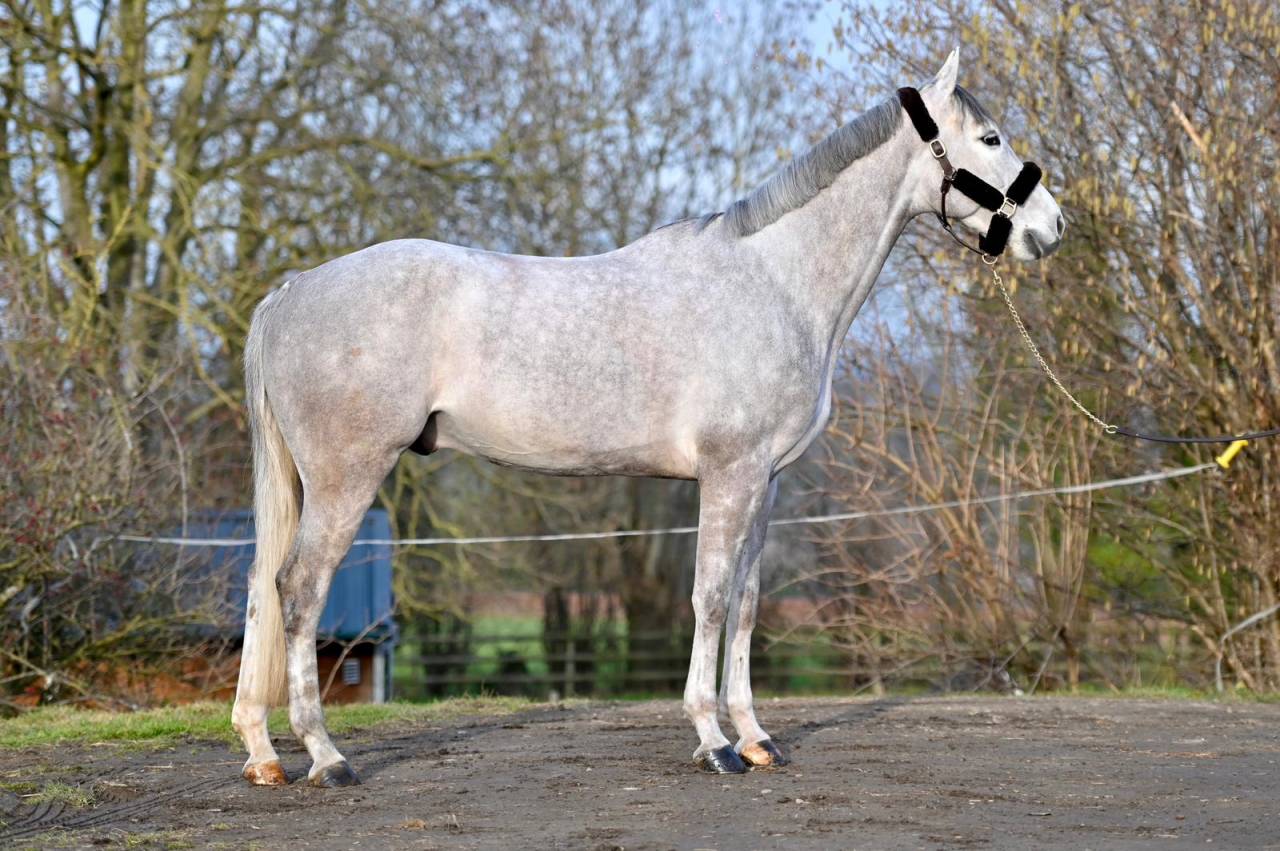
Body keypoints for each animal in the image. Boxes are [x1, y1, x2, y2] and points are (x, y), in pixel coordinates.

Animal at [231, 49, 1064, 786]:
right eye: (992, 139)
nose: (1052, 227)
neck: (774, 281)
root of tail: (292, 291)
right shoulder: (728, 473)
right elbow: (711, 597)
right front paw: (714, 741)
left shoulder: (766, 480)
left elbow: (748, 603)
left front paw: (756, 736)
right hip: (346, 476)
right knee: (298, 591)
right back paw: (327, 757)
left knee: (261, 589)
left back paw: (264, 754)